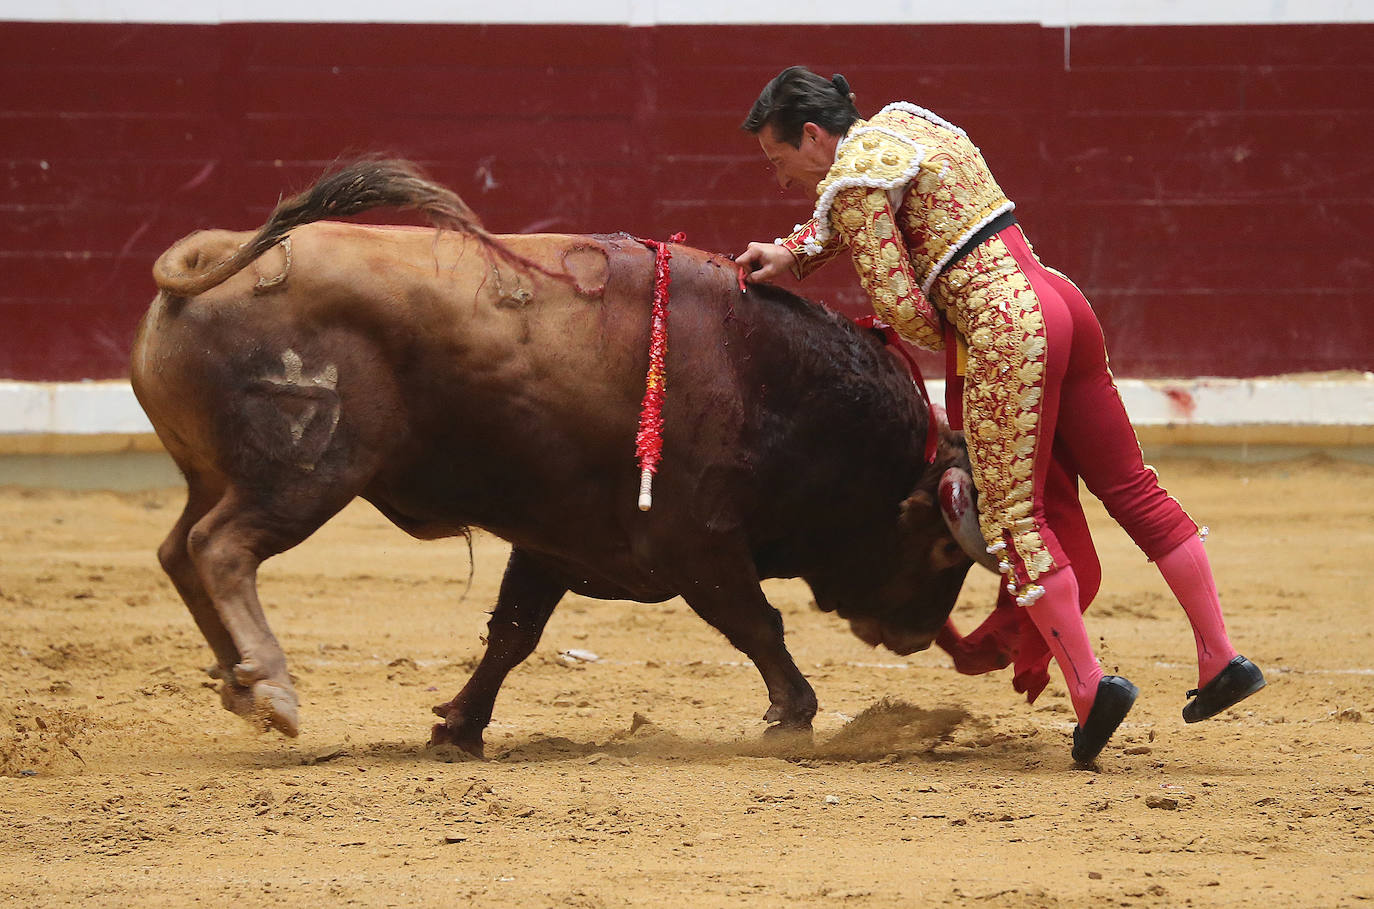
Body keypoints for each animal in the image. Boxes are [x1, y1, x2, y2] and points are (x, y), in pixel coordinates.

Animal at [133, 159, 1005, 757]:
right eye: (939, 549)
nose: (917, 635)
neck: (770, 380)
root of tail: (212, 260)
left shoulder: (554, 541)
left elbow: (512, 633)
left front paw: (458, 726)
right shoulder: (697, 542)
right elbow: (757, 622)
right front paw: (793, 716)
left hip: (219, 473)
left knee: (178, 549)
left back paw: (237, 679)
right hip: (308, 472)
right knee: (220, 547)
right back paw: (272, 686)